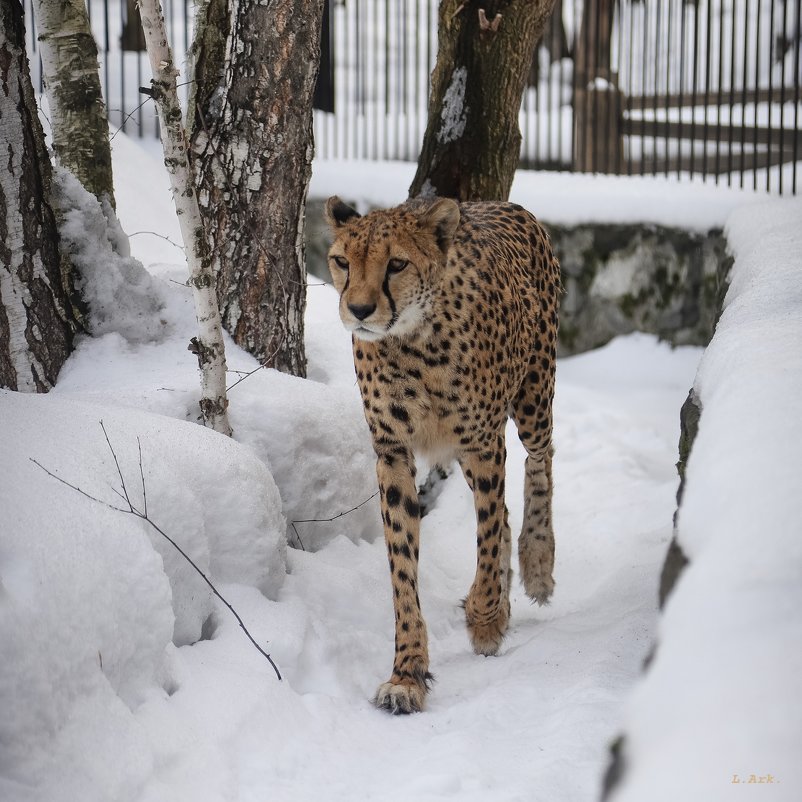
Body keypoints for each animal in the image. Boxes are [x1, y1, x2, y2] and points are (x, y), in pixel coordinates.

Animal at [322, 195, 560, 712]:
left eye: (396, 264)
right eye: (343, 261)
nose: (360, 309)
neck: (413, 342)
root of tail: (500, 202)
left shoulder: (481, 442)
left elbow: (486, 535)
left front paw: (486, 619)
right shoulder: (392, 453)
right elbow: (402, 567)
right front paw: (407, 672)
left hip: (534, 395)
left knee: (541, 460)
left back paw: (537, 565)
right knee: (508, 506)